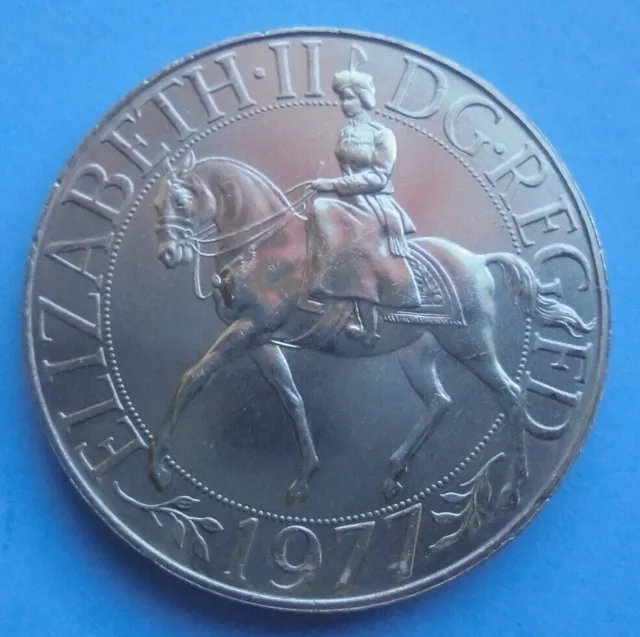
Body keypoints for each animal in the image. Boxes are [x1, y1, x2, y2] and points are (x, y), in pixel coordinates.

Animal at [148, 148, 592, 506]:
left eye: (182, 200)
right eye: (156, 205)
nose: (168, 254)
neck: (267, 244)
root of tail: (479, 260)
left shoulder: (251, 328)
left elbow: (192, 378)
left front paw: (159, 468)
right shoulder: (261, 340)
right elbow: (292, 398)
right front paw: (305, 476)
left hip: (472, 346)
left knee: (512, 396)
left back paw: (513, 485)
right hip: (417, 354)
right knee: (440, 402)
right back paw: (394, 473)